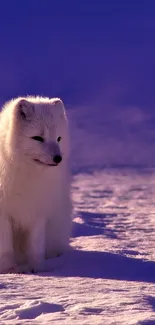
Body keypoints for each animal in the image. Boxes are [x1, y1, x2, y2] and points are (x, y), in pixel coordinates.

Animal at [0, 97, 72, 274]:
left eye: (58, 138)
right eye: (38, 138)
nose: (58, 158)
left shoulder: (38, 210)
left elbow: (36, 245)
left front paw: (37, 269)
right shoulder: (3, 213)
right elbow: (5, 247)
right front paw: (9, 269)